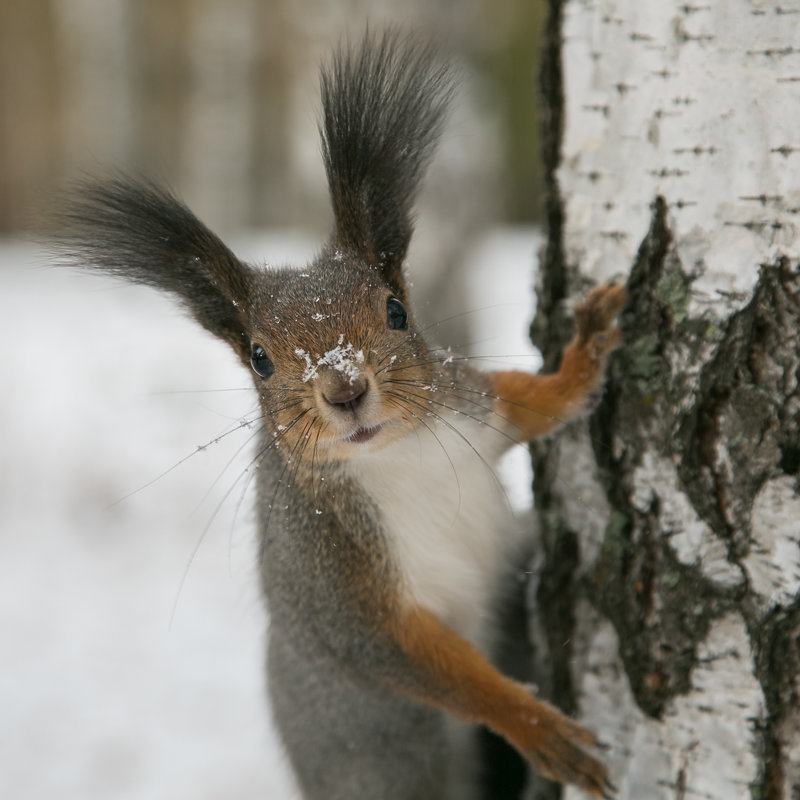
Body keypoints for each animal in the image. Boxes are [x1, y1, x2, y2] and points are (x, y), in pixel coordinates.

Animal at [59, 29, 628, 800]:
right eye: (260, 358)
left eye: (395, 310)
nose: (345, 390)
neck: (392, 453)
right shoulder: (338, 585)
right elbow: (432, 668)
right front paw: (542, 729)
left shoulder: (468, 406)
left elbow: (530, 401)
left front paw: (585, 356)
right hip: (389, 762)